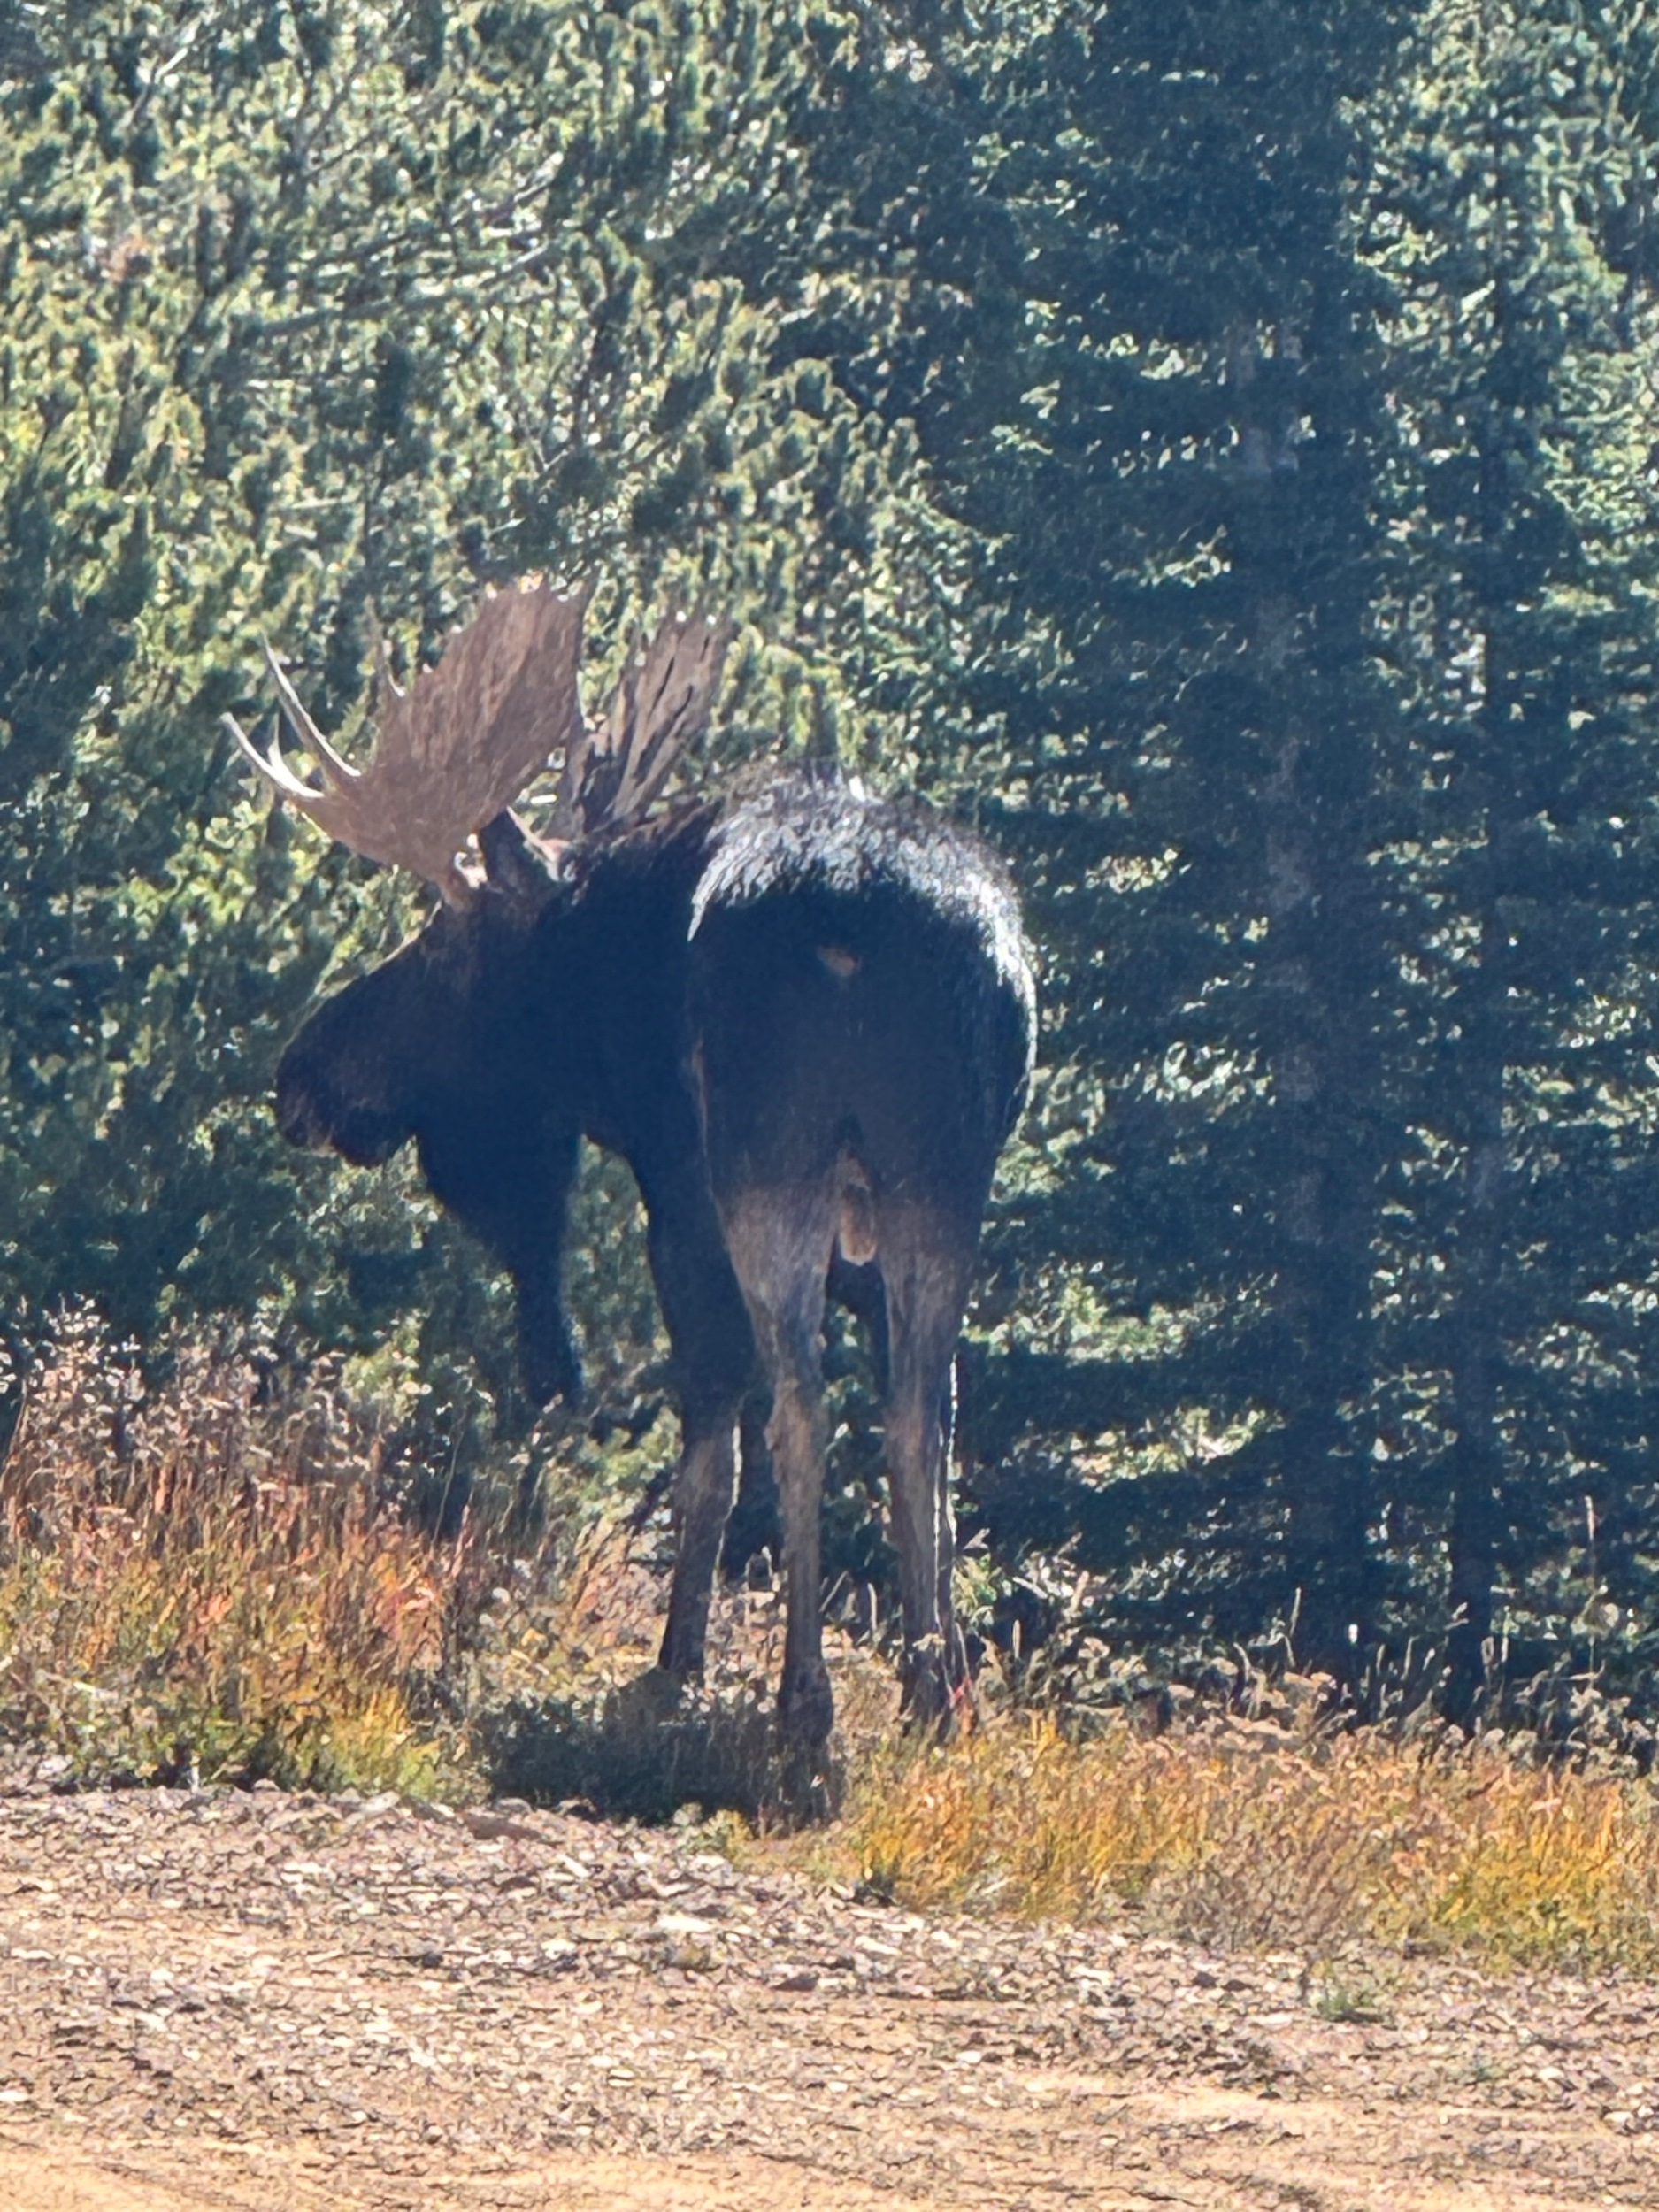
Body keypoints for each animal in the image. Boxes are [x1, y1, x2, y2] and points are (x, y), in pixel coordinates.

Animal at [227, 582, 1035, 1751]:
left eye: (436, 946)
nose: (302, 1074)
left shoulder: (677, 1188)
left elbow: (712, 1439)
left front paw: (676, 1663)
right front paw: (944, 1671)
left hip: (769, 1161)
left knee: (799, 1401)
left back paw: (803, 1700)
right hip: (941, 1173)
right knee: (922, 1409)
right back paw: (934, 1693)